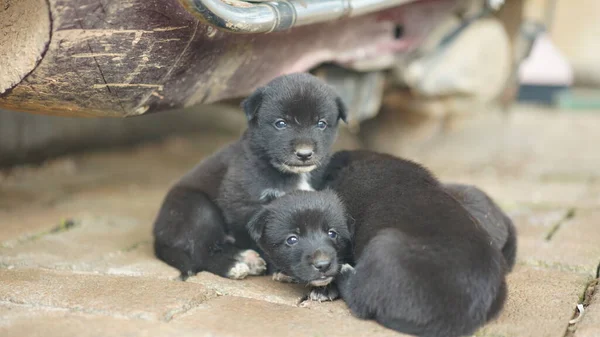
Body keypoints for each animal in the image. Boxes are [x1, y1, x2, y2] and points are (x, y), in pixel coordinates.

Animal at [151, 73, 346, 278]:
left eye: (321, 124)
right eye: (281, 124)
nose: (304, 154)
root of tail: (157, 235)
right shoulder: (242, 204)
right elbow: (260, 239)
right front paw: (280, 269)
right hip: (198, 210)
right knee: (200, 252)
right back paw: (233, 266)